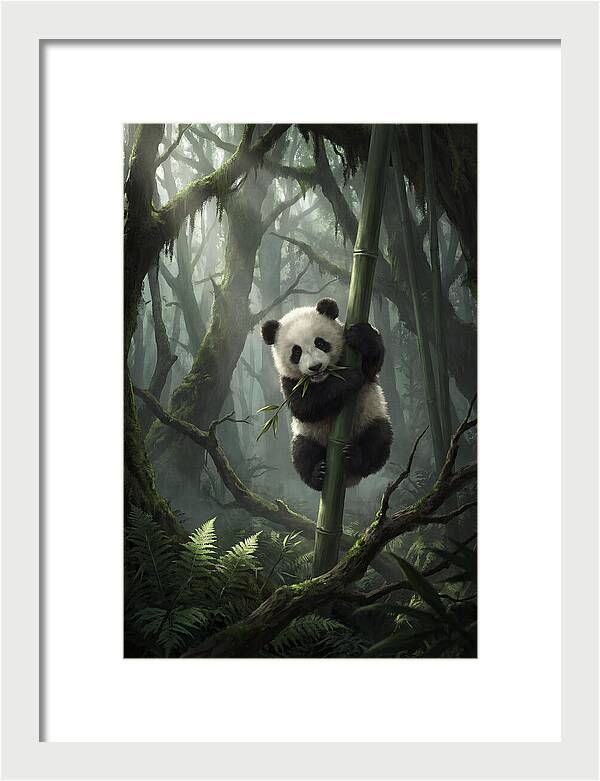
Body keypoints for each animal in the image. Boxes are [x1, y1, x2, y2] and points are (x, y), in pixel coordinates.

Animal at [261, 297, 393, 491]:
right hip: (308, 434)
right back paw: (318, 474)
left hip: (370, 417)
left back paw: (355, 458)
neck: (324, 378)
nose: (315, 367)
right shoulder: (289, 381)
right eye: (296, 352)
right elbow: (305, 407)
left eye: (320, 343)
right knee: (302, 452)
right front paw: (350, 377)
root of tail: (349, 479)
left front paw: (361, 336)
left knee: (378, 439)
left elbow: (372, 364)